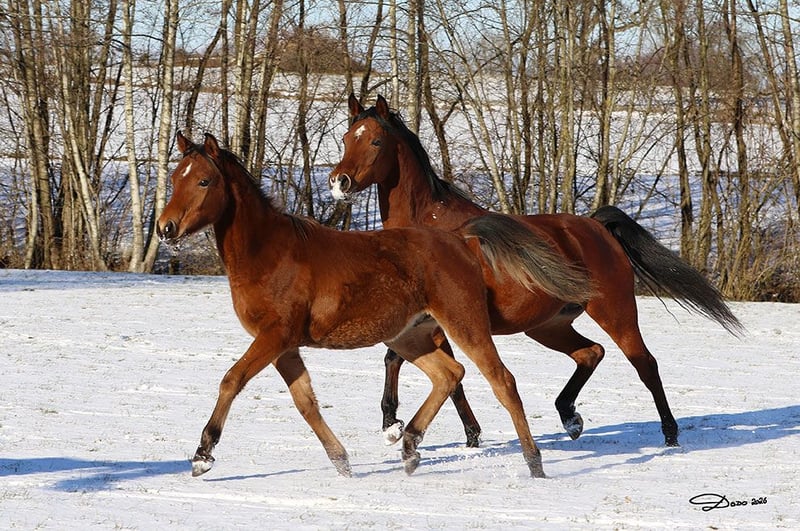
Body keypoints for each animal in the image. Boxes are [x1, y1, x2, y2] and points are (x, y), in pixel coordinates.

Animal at [155, 131, 592, 479]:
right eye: (175, 178)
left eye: (204, 180)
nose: (165, 228)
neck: (270, 254)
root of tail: (462, 242)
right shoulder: (285, 347)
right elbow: (306, 402)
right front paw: (342, 462)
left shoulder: (274, 336)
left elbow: (232, 380)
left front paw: (202, 456)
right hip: (409, 337)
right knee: (449, 373)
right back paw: (409, 446)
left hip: (464, 325)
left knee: (502, 381)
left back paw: (535, 464)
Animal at [329, 93, 744, 449]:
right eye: (347, 137)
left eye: (376, 141)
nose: (339, 182)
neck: (428, 226)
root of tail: (595, 227)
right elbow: (437, 372)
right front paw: (466, 435)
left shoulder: (442, 320)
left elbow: (410, 363)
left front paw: (394, 425)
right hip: (548, 324)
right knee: (591, 353)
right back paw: (570, 418)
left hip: (615, 312)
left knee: (645, 364)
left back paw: (670, 435)